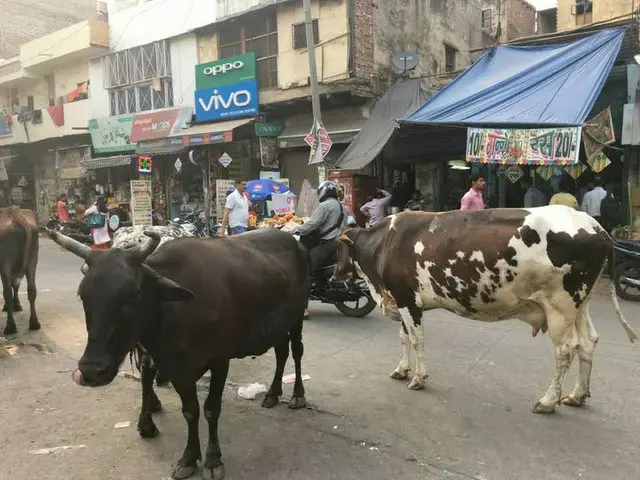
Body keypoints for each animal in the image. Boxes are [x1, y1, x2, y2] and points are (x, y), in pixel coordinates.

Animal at [48, 229, 310, 480]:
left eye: (133, 292)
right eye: (83, 294)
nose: (91, 370)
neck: (177, 310)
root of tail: (296, 242)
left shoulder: (219, 360)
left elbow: (211, 409)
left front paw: (213, 460)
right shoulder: (176, 368)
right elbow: (190, 411)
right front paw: (189, 458)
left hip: (298, 316)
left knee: (296, 351)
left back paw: (297, 396)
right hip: (278, 325)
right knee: (281, 352)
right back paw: (273, 394)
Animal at [336, 205, 636, 412]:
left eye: (338, 249)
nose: (335, 274)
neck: (384, 243)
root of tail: (597, 228)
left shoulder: (407, 298)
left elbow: (417, 339)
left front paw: (419, 378)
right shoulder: (402, 300)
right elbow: (404, 337)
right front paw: (401, 370)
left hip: (560, 305)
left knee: (566, 350)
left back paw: (548, 400)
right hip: (580, 304)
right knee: (588, 343)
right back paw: (577, 395)